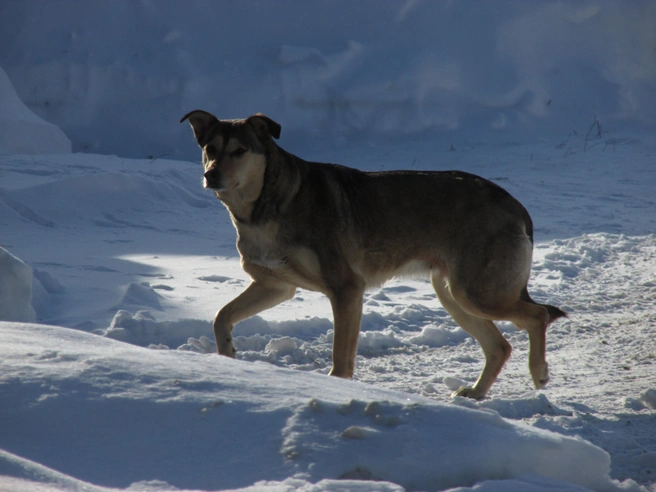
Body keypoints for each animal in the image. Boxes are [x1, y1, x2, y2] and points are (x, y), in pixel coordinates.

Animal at [179, 111, 564, 400]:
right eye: (210, 148)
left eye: (240, 151)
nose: (210, 174)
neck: (263, 210)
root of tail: (514, 204)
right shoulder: (275, 286)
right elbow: (221, 317)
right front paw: (227, 357)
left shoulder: (347, 289)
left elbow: (341, 359)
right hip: (454, 295)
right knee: (500, 346)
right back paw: (476, 393)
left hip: (476, 293)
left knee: (538, 316)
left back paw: (539, 372)